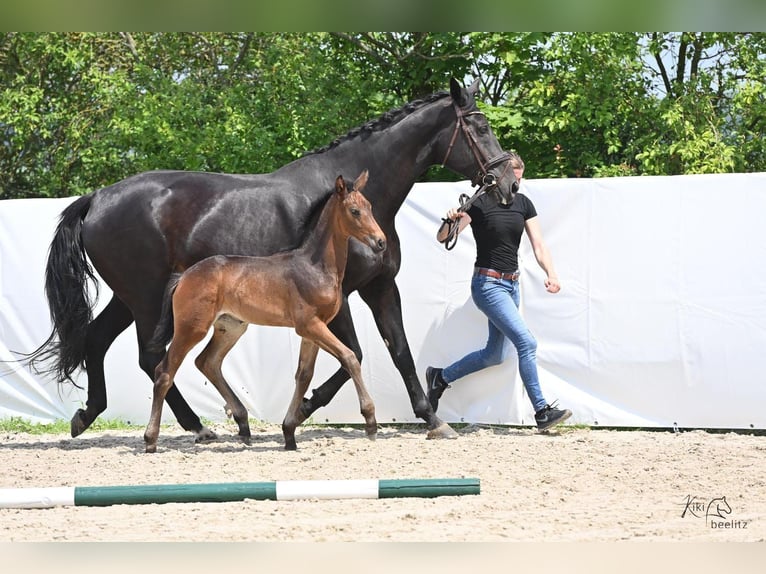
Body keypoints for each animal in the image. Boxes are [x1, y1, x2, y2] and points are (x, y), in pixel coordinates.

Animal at [146, 172, 384, 454]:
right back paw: (150, 440)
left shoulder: (313, 330)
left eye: (370, 207)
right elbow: (349, 357)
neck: (315, 266)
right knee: (164, 372)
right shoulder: (310, 325)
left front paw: (289, 432)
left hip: (231, 327)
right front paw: (370, 420)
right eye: (354, 211)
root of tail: (184, 276)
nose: (381, 241)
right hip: (191, 328)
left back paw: (243, 424)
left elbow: (304, 374)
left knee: (207, 362)